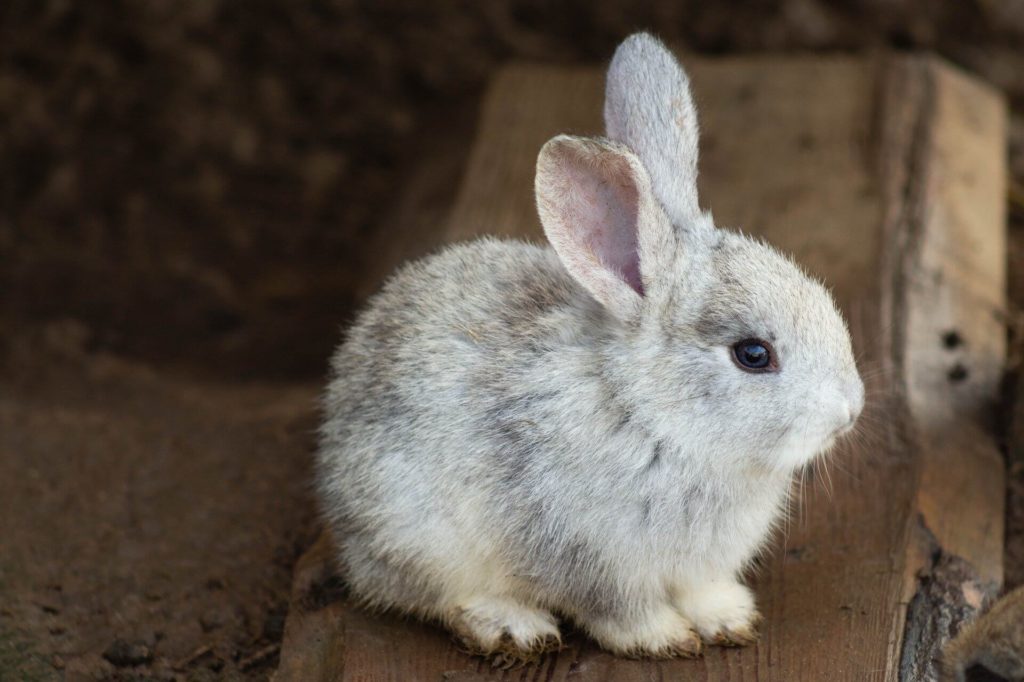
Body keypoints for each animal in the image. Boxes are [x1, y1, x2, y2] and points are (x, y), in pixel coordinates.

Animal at [317, 33, 864, 659]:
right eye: (753, 355)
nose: (851, 410)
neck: (651, 416)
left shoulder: (697, 567)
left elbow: (702, 590)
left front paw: (729, 619)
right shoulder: (589, 558)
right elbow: (618, 612)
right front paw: (665, 639)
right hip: (417, 533)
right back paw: (513, 626)